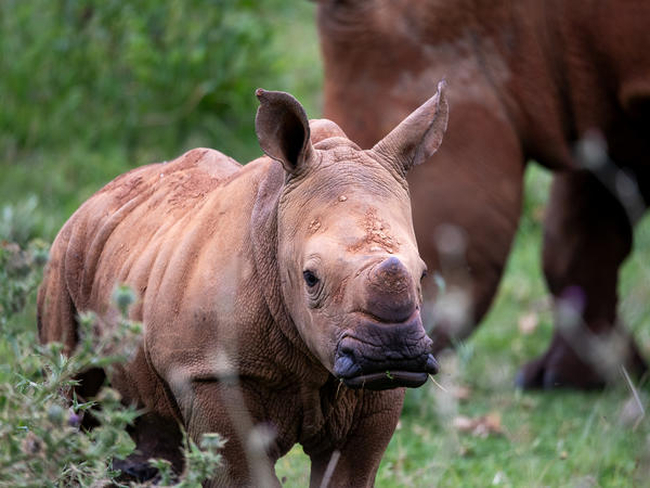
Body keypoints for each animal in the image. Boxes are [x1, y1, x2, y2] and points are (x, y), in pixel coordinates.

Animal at [38, 82, 448, 486]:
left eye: (423, 274)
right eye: (310, 278)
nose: (391, 354)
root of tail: (101, 192)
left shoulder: (375, 393)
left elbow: (350, 474)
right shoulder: (208, 371)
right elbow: (244, 472)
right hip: (66, 251)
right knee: (69, 387)